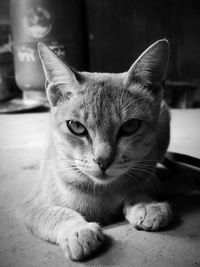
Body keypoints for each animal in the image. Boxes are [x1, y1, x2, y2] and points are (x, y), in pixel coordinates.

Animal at [19, 39, 175, 262]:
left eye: (130, 126)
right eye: (76, 126)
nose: (103, 161)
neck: (102, 191)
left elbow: (139, 187)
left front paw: (146, 204)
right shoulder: (30, 206)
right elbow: (56, 213)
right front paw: (77, 230)